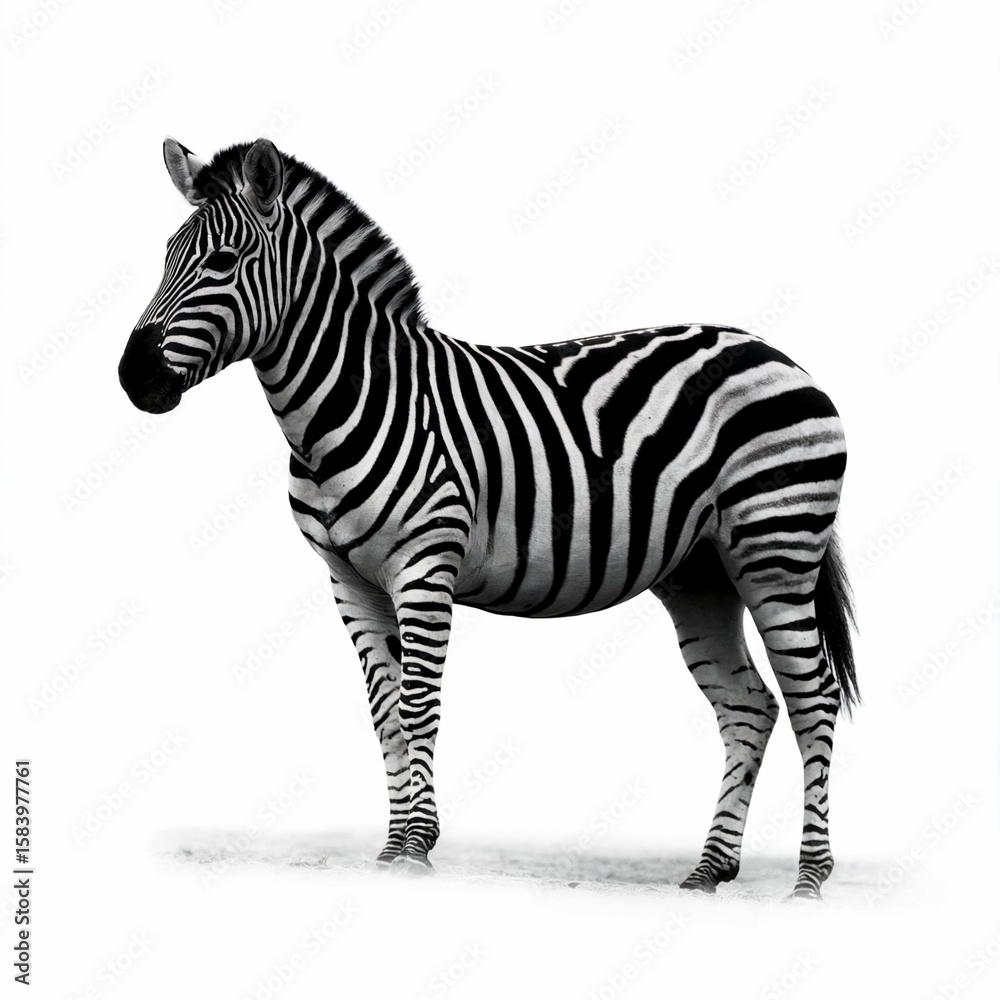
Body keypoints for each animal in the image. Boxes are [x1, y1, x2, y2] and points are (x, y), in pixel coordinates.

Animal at [120, 137, 859, 900]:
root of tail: (775, 354)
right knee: (750, 706)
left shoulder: (424, 566)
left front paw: (415, 847)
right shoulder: (347, 581)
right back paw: (711, 868)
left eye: (222, 261)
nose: (132, 378)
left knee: (813, 700)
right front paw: (394, 846)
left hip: (776, 551)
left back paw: (809, 878)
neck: (349, 401)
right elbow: (384, 713)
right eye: (167, 255)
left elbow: (418, 706)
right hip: (702, 575)